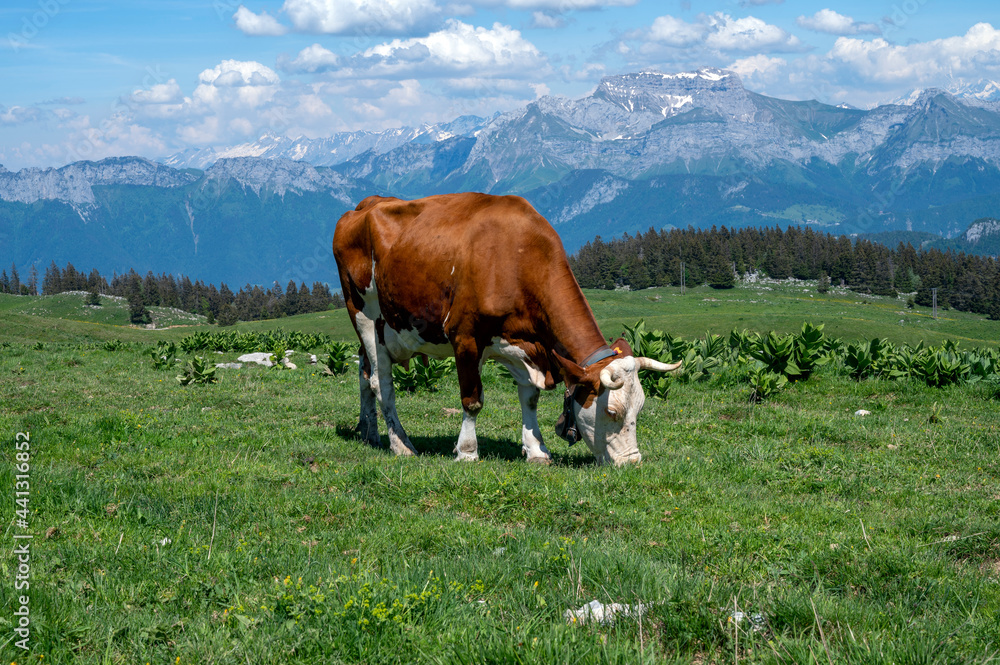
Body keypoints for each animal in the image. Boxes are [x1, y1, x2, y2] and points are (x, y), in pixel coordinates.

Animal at [330, 191, 680, 462]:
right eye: (613, 413)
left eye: (639, 409)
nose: (632, 462)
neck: (517, 256)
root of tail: (364, 205)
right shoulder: (466, 336)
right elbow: (472, 400)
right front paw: (467, 451)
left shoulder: (527, 345)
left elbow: (530, 397)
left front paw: (536, 450)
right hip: (362, 313)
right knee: (381, 382)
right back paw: (401, 444)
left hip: (382, 329)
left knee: (364, 373)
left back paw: (369, 432)